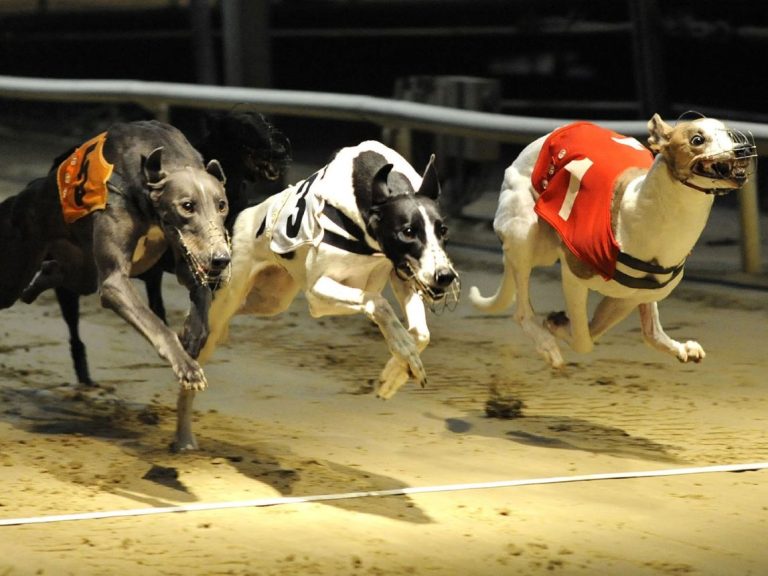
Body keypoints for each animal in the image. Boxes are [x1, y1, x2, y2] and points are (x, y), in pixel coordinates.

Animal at [7, 111, 291, 387]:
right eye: (187, 206)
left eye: (222, 205)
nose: (221, 259)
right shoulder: (115, 281)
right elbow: (154, 321)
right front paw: (187, 366)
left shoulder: (185, 262)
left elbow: (201, 293)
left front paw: (192, 336)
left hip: (83, 271)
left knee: (56, 273)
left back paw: (37, 286)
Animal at [172, 140, 461, 451]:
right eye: (407, 232)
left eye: (443, 230)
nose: (445, 276)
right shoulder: (318, 295)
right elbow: (379, 303)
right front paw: (403, 349)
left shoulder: (404, 274)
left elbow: (421, 333)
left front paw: (394, 375)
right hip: (225, 304)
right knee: (196, 355)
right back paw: (183, 436)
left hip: (270, 300)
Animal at [469, 114, 755, 367]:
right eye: (697, 139)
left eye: (729, 135)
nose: (742, 149)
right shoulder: (573, 275)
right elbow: (583, 340)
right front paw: (556, 329)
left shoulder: (626, 298)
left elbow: (602, 330)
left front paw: (559, 323)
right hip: (524, 234)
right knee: (522, 312)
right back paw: (546, 344)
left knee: (651, 332)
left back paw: (680, 347)